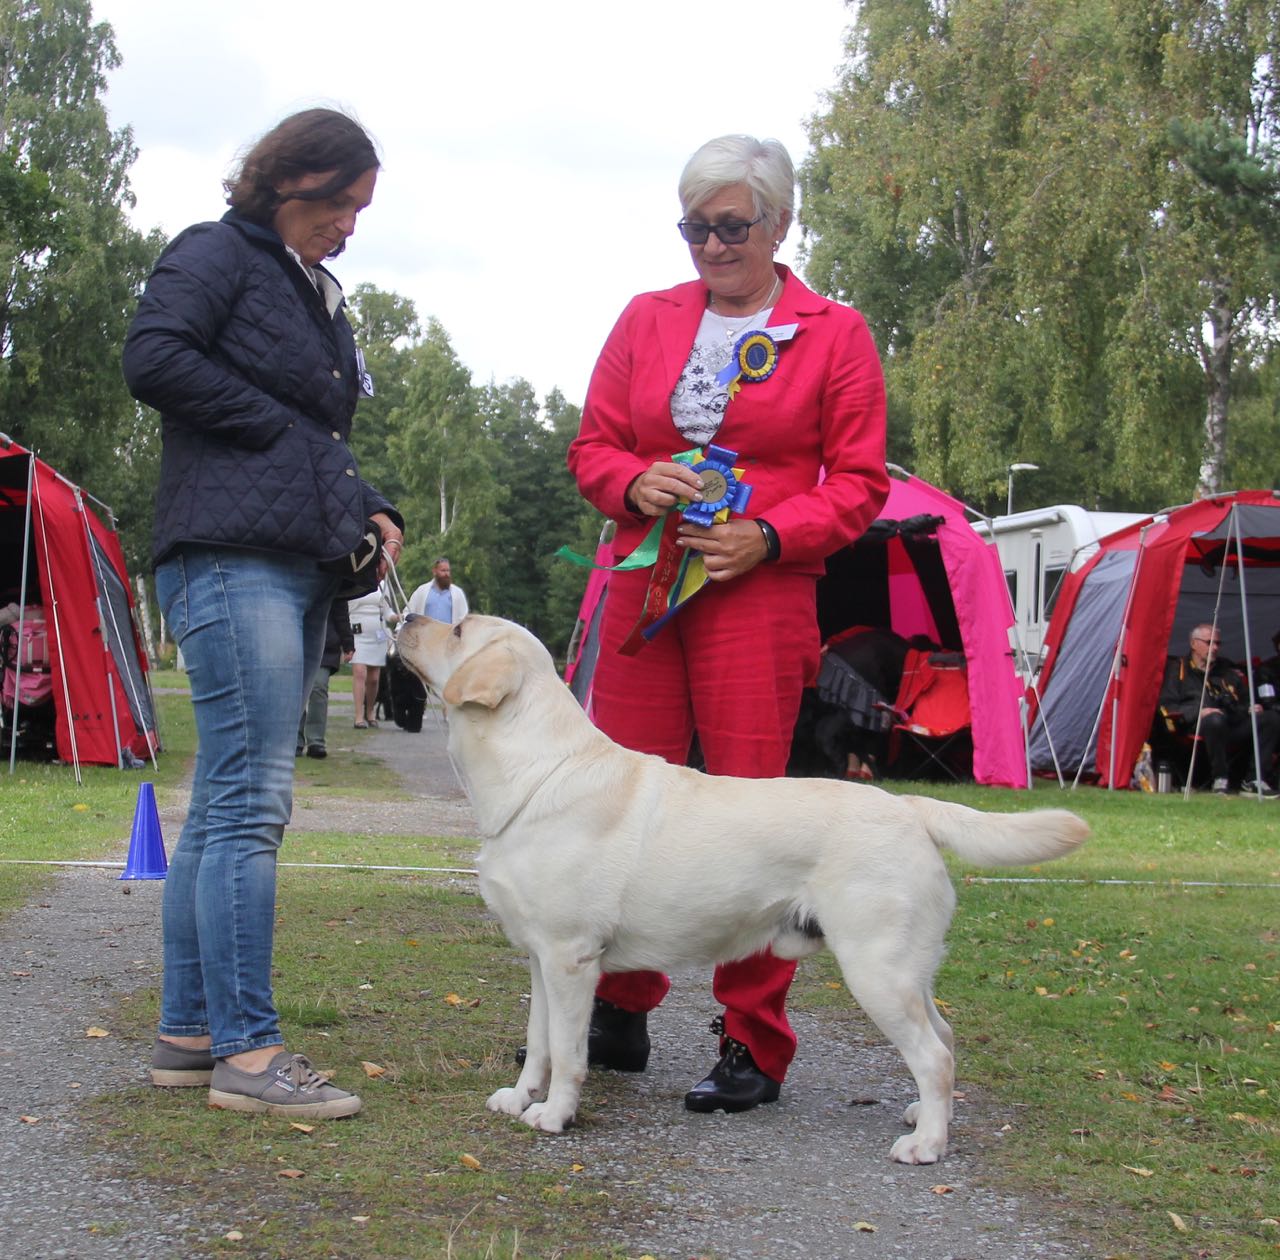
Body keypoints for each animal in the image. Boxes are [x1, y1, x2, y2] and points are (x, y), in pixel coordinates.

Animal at [394, 609, 1085, 1162]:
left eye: (458, 630)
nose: (403, 616)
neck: (535, 771)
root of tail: (911, 807)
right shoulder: (541, 958)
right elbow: (538, 1042)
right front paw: (519, 1099)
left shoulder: (570, 957)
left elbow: (566, 1053)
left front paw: (555, 1115)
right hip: (907, 970)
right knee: (945, 1038)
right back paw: (924, 1116)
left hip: (876, 969)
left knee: (934, 1055)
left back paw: (926, 1146)